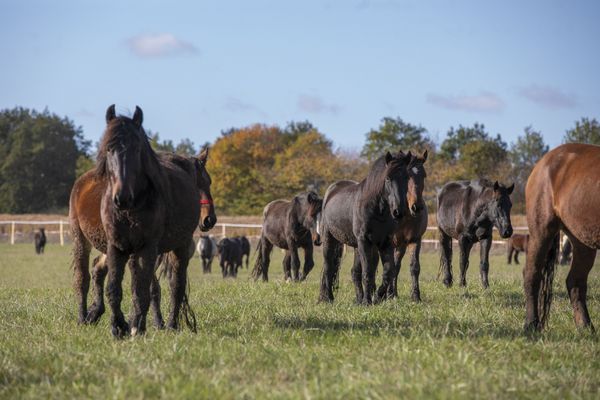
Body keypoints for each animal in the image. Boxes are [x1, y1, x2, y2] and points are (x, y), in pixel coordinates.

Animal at [69, 104, 217, 338]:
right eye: (205, 181)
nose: (209, 219)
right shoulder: (122, 247)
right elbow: (126, 287)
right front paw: (126, 325)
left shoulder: (148, 249)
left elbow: (144, 288)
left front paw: (139, 324)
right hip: (80, 238)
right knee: (83, 277)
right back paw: (84, 316)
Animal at [316, 150, 414, 304]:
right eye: (387, 178)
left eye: (407, 178)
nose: (398, 211)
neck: (377, 209)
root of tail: (331, 190)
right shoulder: (364, 241)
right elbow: (367, 271)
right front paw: (368, 301)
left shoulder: (385, 242)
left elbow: (388, 272)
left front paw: (378, 296)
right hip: (329, 239)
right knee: (328, 268)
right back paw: (329, 298)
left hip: (356, 246)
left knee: (354, 272)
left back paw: (358, 299)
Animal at [520, 143, 600, 332]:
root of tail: (543, 161)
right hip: (541, 232)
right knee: (532, 275)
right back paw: (531, 324)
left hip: (582, 241)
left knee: (575, 282)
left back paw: (586, 327)